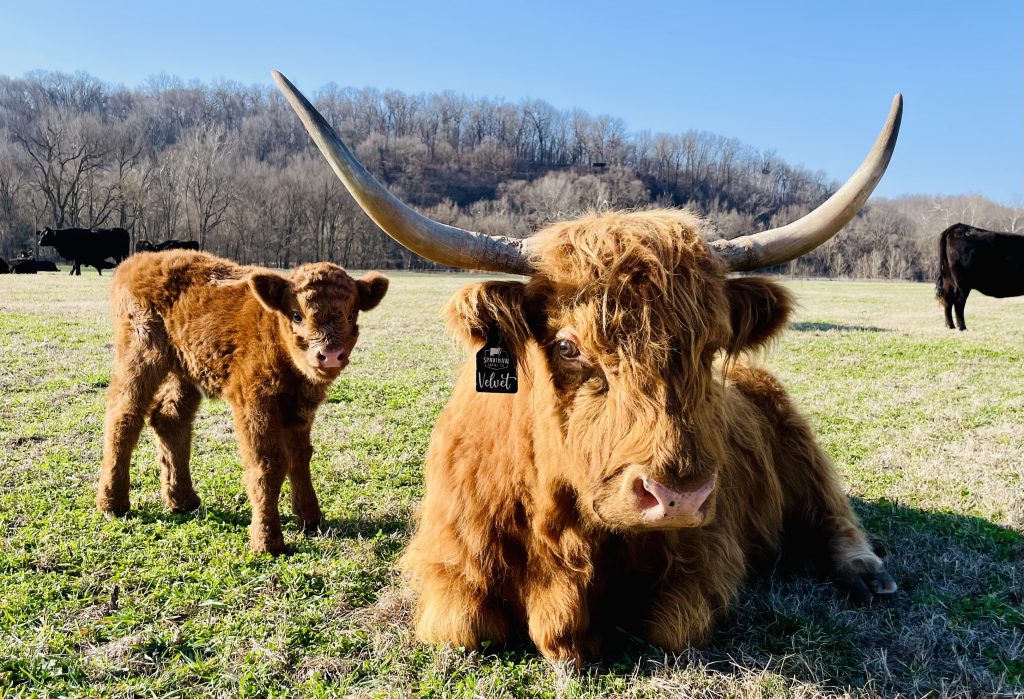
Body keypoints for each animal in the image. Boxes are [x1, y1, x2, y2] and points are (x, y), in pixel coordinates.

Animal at [95, 250, 389, 554]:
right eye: (297, 315)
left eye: (351, 314)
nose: (329, 355)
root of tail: (137, 261)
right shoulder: (254, 403)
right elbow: (267, 464)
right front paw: (267, 540)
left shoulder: (301, 408)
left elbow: (300, 456)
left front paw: (310, 518)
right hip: (140, 354)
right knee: (123, 417)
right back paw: (113, 503)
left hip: (185, 369)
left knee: (170, 417)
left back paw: (183, 500)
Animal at [275, 71, 902, 662]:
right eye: (569, 346)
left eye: (710, 347)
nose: (678, 497)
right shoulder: (448, 565)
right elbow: (466, 629)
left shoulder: (705, 557)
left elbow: (670, 628)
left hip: (802, 449)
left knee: (835, 514)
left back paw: (870, 576)